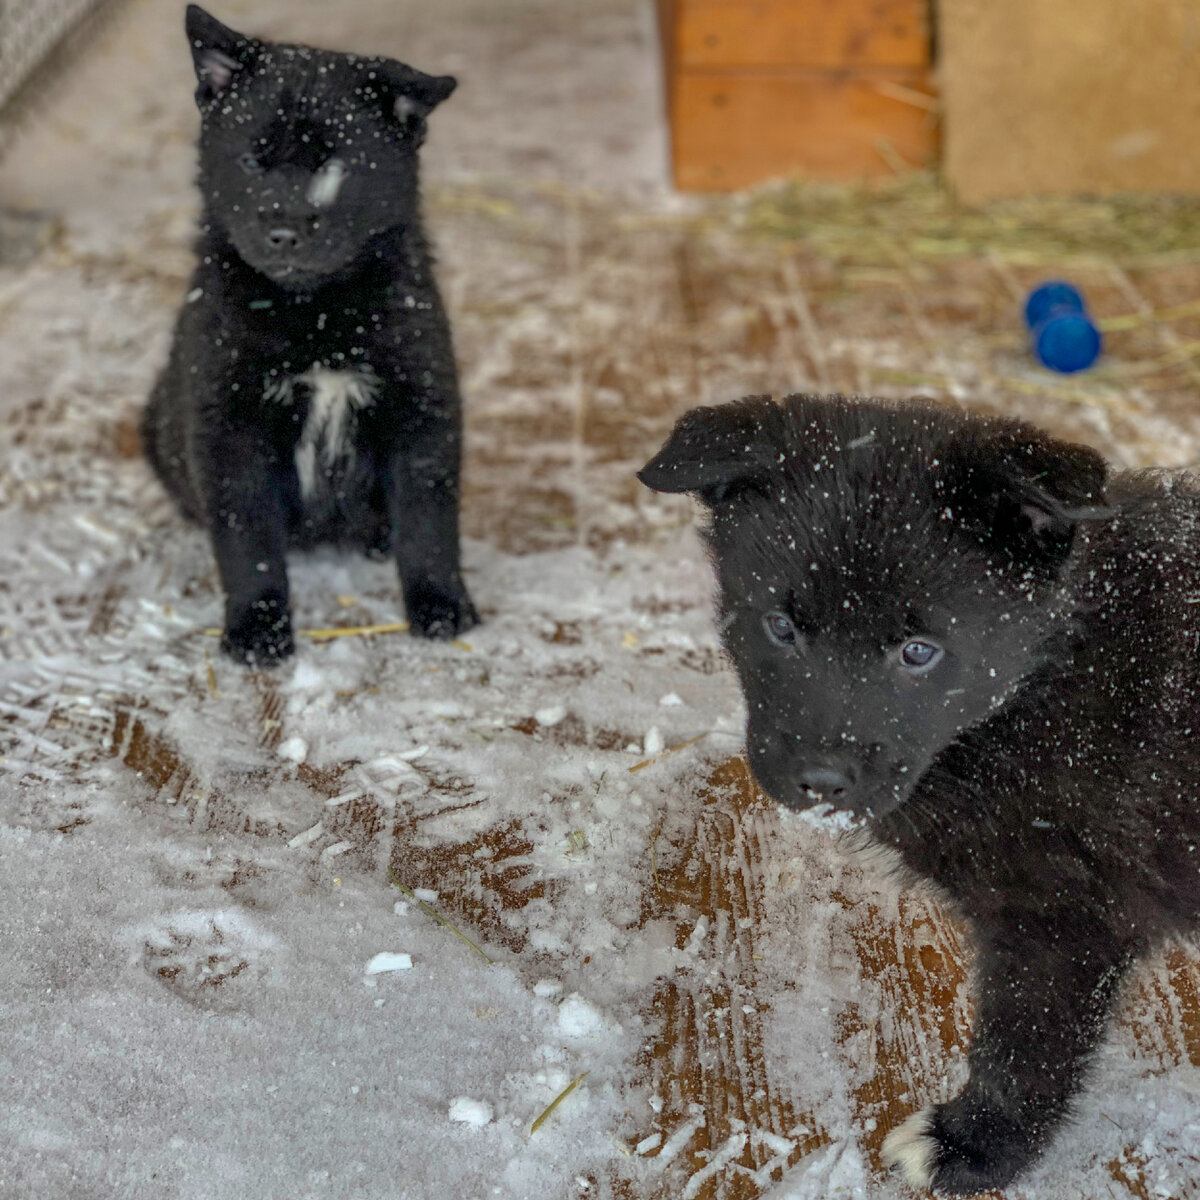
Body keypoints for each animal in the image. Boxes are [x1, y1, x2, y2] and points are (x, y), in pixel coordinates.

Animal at [142, 4, 475, 662]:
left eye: (335, 170)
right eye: (252, 162)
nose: (284, 232)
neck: (316, 316)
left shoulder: (422, 406)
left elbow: (428, 521)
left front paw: (439, 604)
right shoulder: (230, 427)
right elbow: (247, 542)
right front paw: (256, 626)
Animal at [643, 391, 1200, 1190]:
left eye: (918, 652)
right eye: (779, 626)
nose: (820, 780)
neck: (1042, 686)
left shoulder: (1063, 920)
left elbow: (1024, 1047)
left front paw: (973, 1147)